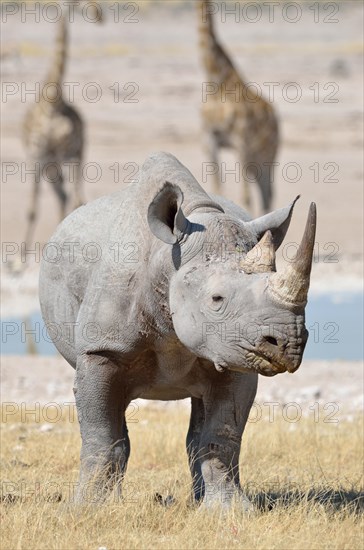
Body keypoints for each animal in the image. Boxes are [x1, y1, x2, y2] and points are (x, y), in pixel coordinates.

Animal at [22, 3, 102, 249]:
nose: (99, 14)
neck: (53, 101)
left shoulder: (72, 153)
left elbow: (77, 202)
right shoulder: (36, 158)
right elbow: (31, 210)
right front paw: (20, 257)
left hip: (65, 161)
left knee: (69, 197)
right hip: (50, 166)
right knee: (62, 196)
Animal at [196, 0, 278, 213]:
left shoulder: (240, 141)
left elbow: (245, 197)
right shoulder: (209, 139)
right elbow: (217, 187)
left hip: (267, 155)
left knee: (267, 194)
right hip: (256, 160)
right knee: (265, 194)